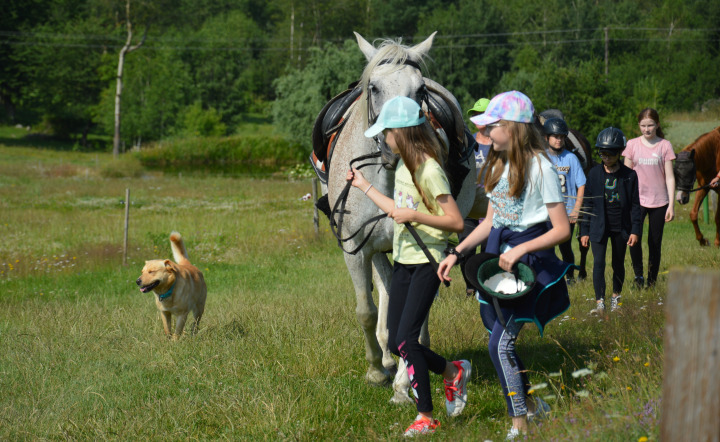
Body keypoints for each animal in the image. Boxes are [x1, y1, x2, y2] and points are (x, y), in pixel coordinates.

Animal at [326, 31, 484, 404]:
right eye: (374, 88)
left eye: (419, 91)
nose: (398, 140)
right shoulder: (356, 250)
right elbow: (367, 311)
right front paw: (375, 370)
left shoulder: (421, 251)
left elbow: (410, 316)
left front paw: (401, 382)